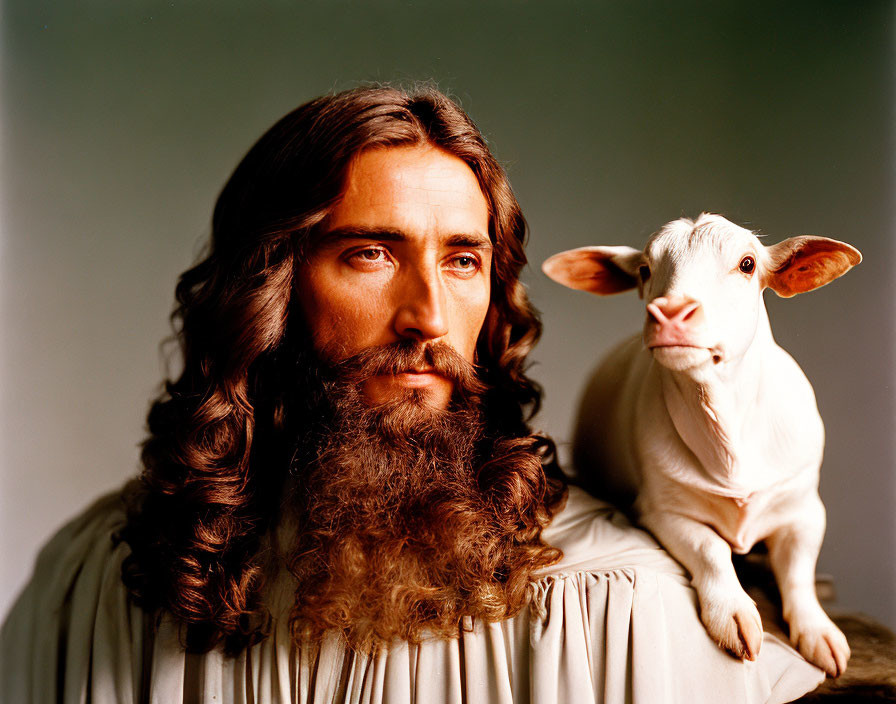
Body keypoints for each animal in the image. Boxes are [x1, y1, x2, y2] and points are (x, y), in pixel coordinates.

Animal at [544, 213, 860, 676]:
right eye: (644, 269)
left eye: (747, 264)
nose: (672, 313)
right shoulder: (661, 511)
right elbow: (710, 550)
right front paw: (733, 613)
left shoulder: (804, 508)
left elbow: (799, 572)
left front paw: (819, 631)